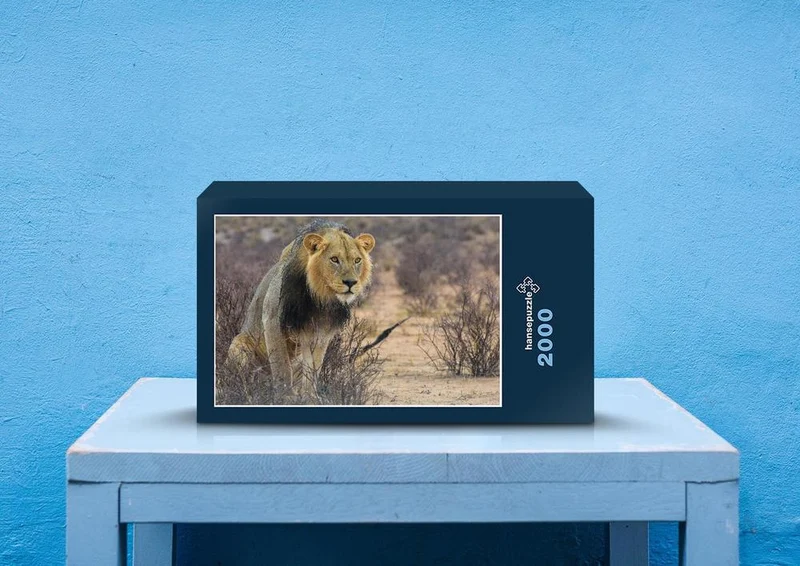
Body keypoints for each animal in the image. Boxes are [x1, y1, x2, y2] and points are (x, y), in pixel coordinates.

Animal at [226, 219, 376, 397]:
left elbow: (313, 368)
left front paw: (310, 397)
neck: (319, 297)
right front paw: (284, 397)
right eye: (334, 259)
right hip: (239, 343)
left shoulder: (321, 333)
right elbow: (282, 367)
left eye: (357, 260)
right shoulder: (272, 322)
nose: (351, 282)